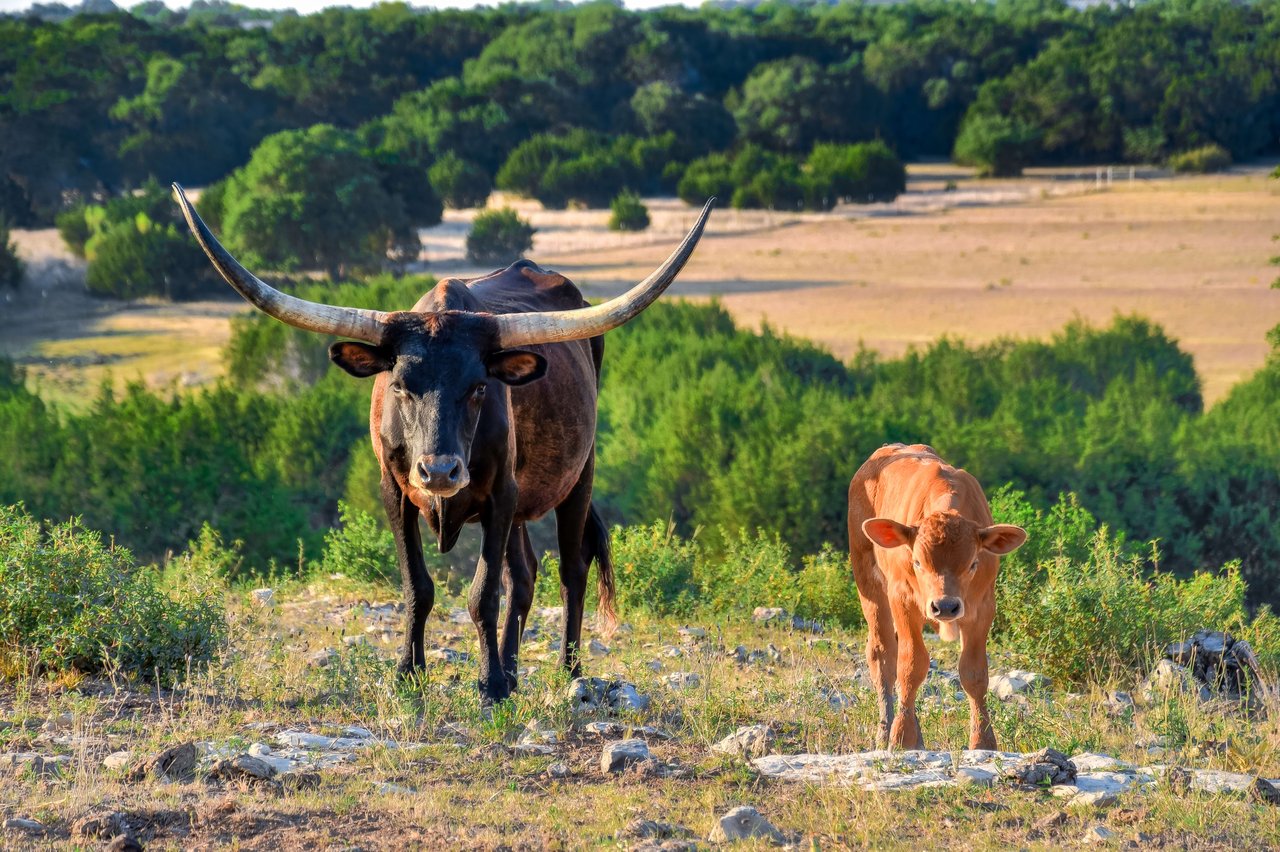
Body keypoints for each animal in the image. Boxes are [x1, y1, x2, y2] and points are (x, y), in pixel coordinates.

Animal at [171, 184, 716, 695]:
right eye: (399, 385)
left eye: (479, 387)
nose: (439, 471)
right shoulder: (395, 491)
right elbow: (419, 586)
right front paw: (410, 673)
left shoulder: (499, 494)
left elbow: (483, 594)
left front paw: (489, 685)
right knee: (525, 573)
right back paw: (514, 670)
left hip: (578, 475)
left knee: (571, 569)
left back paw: (568, 671)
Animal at [849, 440, 1029, 747]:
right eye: (917, 562)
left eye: (973, 563)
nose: (945, 606)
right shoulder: (902, 599)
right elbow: (911, 665)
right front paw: (902, 737)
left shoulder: (983, 606)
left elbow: (974, 673)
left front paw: (982, 741)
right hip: (868, 580)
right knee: (883, 655)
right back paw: (885, 730)